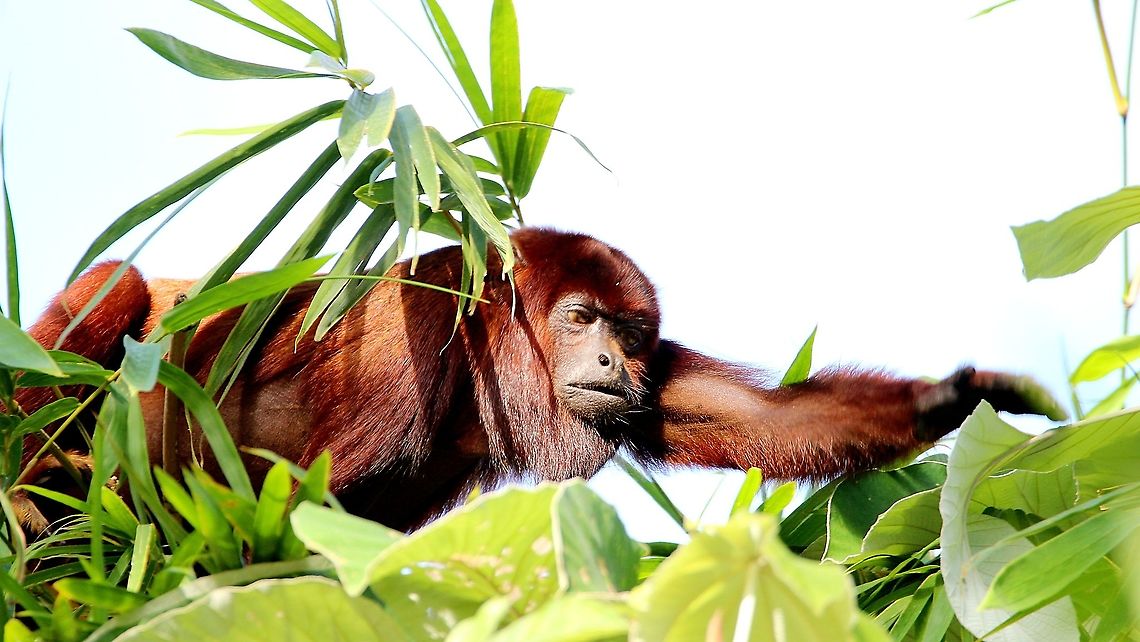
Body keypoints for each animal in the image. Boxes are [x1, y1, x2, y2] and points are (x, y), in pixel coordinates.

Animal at [14, 228, 1065, 530]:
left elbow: (763, 418)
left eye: (630, 333)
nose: (608, 360)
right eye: (578, 317)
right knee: (119, 285)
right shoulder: (417, 319)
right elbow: (293, 506)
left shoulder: (651, 381)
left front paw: (960, 393)